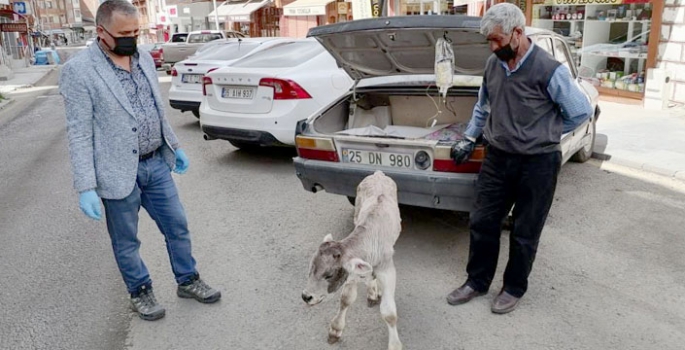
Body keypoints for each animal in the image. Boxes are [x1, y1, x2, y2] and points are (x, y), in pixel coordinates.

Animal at [300, 171, 400, 350]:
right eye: (310, 268)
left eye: (329, 275)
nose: (306, 296)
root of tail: (378, 173)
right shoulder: (352, 271)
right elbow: (346, 299)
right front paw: (335, 330)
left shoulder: (387, 269)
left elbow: (389, 313)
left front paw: (395, 344)